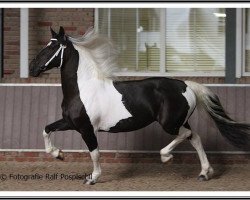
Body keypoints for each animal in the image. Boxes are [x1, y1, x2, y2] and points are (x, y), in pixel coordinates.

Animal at [29, 26, 250, 184]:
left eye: (52, 47)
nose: (32, 68)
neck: (83, 88)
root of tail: (186, 85)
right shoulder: (70, 122)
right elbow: (46, 129)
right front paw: (58, 154)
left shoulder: (86, 128)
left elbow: (95, 153)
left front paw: (93, 178)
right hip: (180, 121)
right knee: (195, 138)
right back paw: (204, 173)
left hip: (170, 124)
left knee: (187, 135)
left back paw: (167, 157)